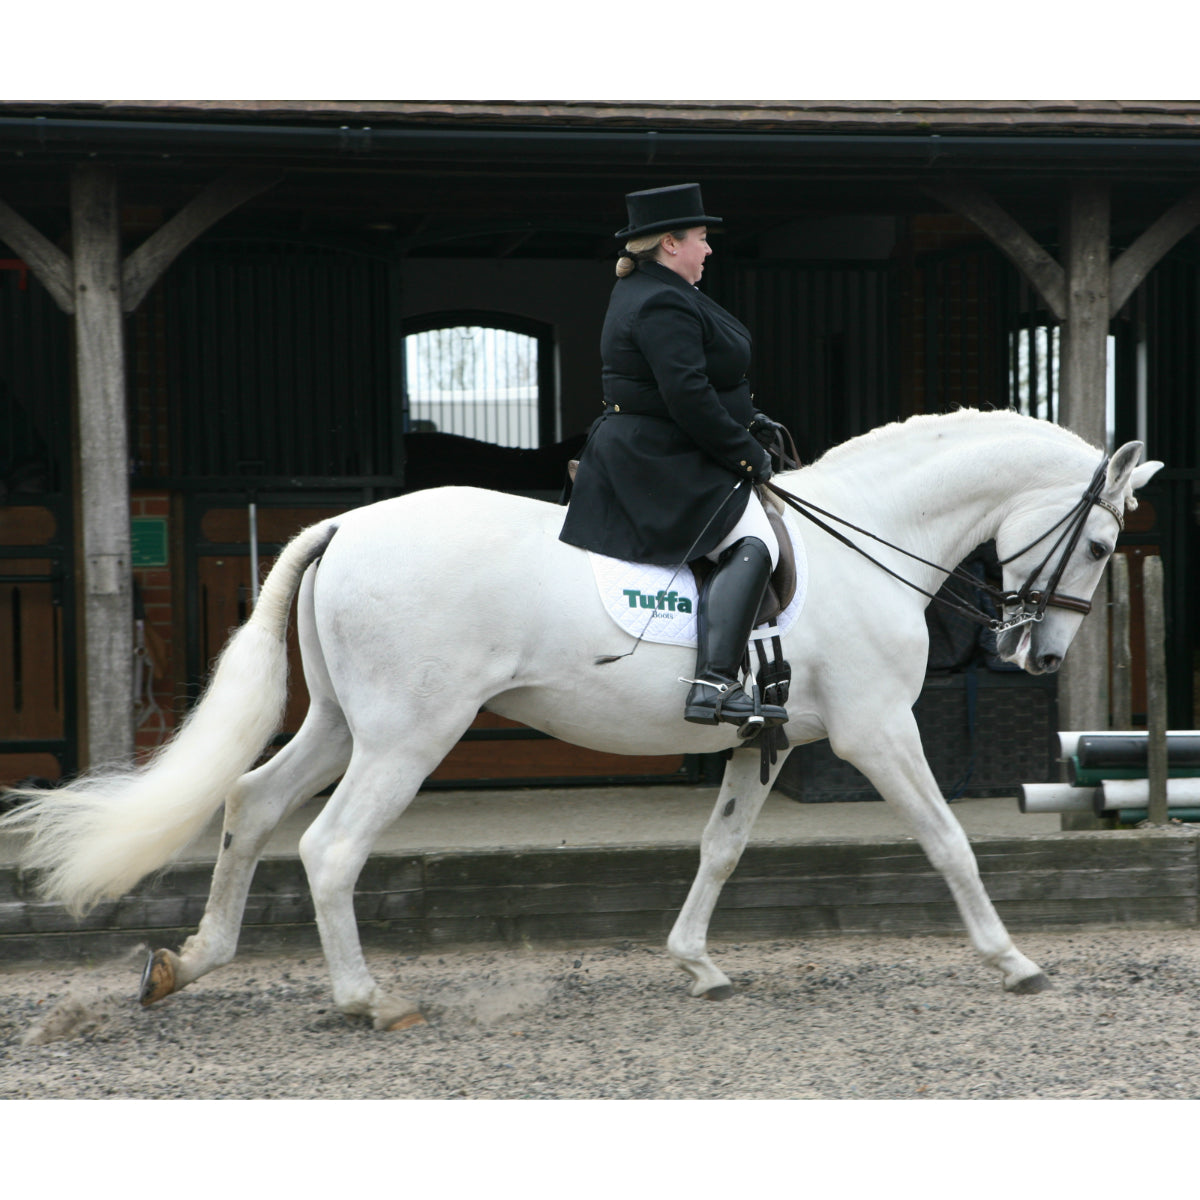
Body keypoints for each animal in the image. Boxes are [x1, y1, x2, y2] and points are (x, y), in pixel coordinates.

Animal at [0, 412, 1161, 1032]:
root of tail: (344, 526)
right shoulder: (878, 732)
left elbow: (720, 851)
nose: (1036, 657)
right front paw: (1013, 960)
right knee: (330, 847)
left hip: (339, 724)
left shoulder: (764, 741)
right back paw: (370, 999)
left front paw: (696, 962)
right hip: (408, 735)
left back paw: (189, 962)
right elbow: (950, 840)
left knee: (249, 804)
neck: (868, 538)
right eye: (1105, 544)